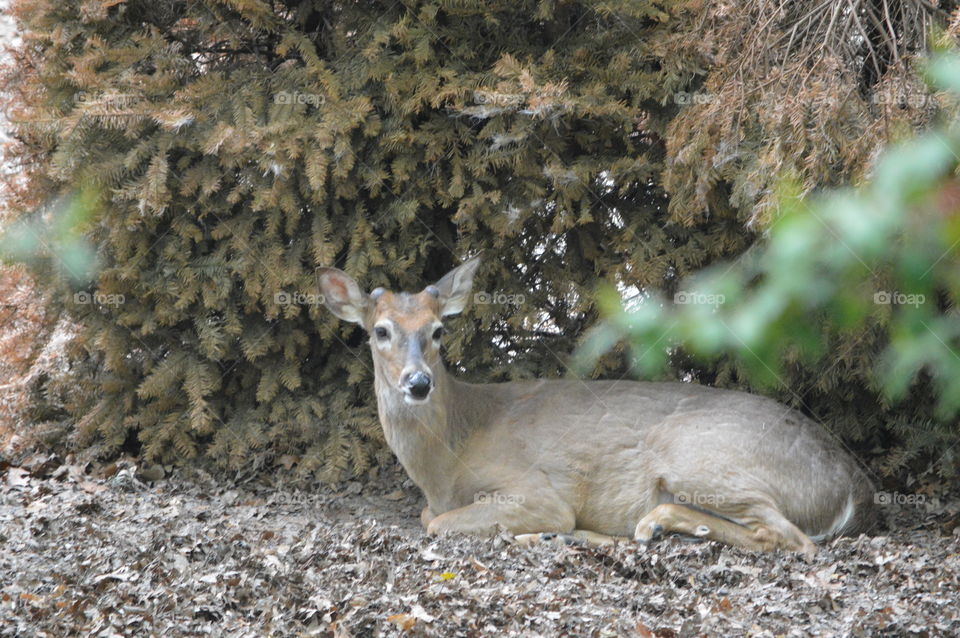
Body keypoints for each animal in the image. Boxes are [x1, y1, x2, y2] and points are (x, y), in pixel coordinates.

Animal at [318, 256, 877, 557]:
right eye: (379, 331)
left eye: (437, 331)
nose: (418, 382)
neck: (446, 463)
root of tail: (854, 485)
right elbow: (424, 517)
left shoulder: (536, 490)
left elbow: (435, 524)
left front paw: (544, 534)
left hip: (700, 453)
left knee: (790, 537)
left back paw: (634, 528)